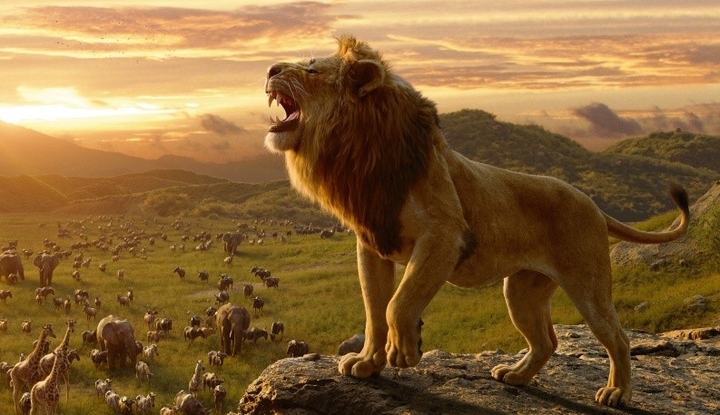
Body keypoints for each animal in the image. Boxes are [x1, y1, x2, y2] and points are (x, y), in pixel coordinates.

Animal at [263, 36, 689, 408]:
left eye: (312, 69)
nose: (269, 69)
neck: (358, 153)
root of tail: (593, 204)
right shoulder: (372, 243)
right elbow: (373, 311)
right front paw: (367, 364)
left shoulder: (445, 235)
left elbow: (398, 304)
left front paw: (405, 352)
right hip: (521, 291)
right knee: (547, 341)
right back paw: (515, 376)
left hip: (588, 284)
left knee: (617, 337)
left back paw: (617, 392)